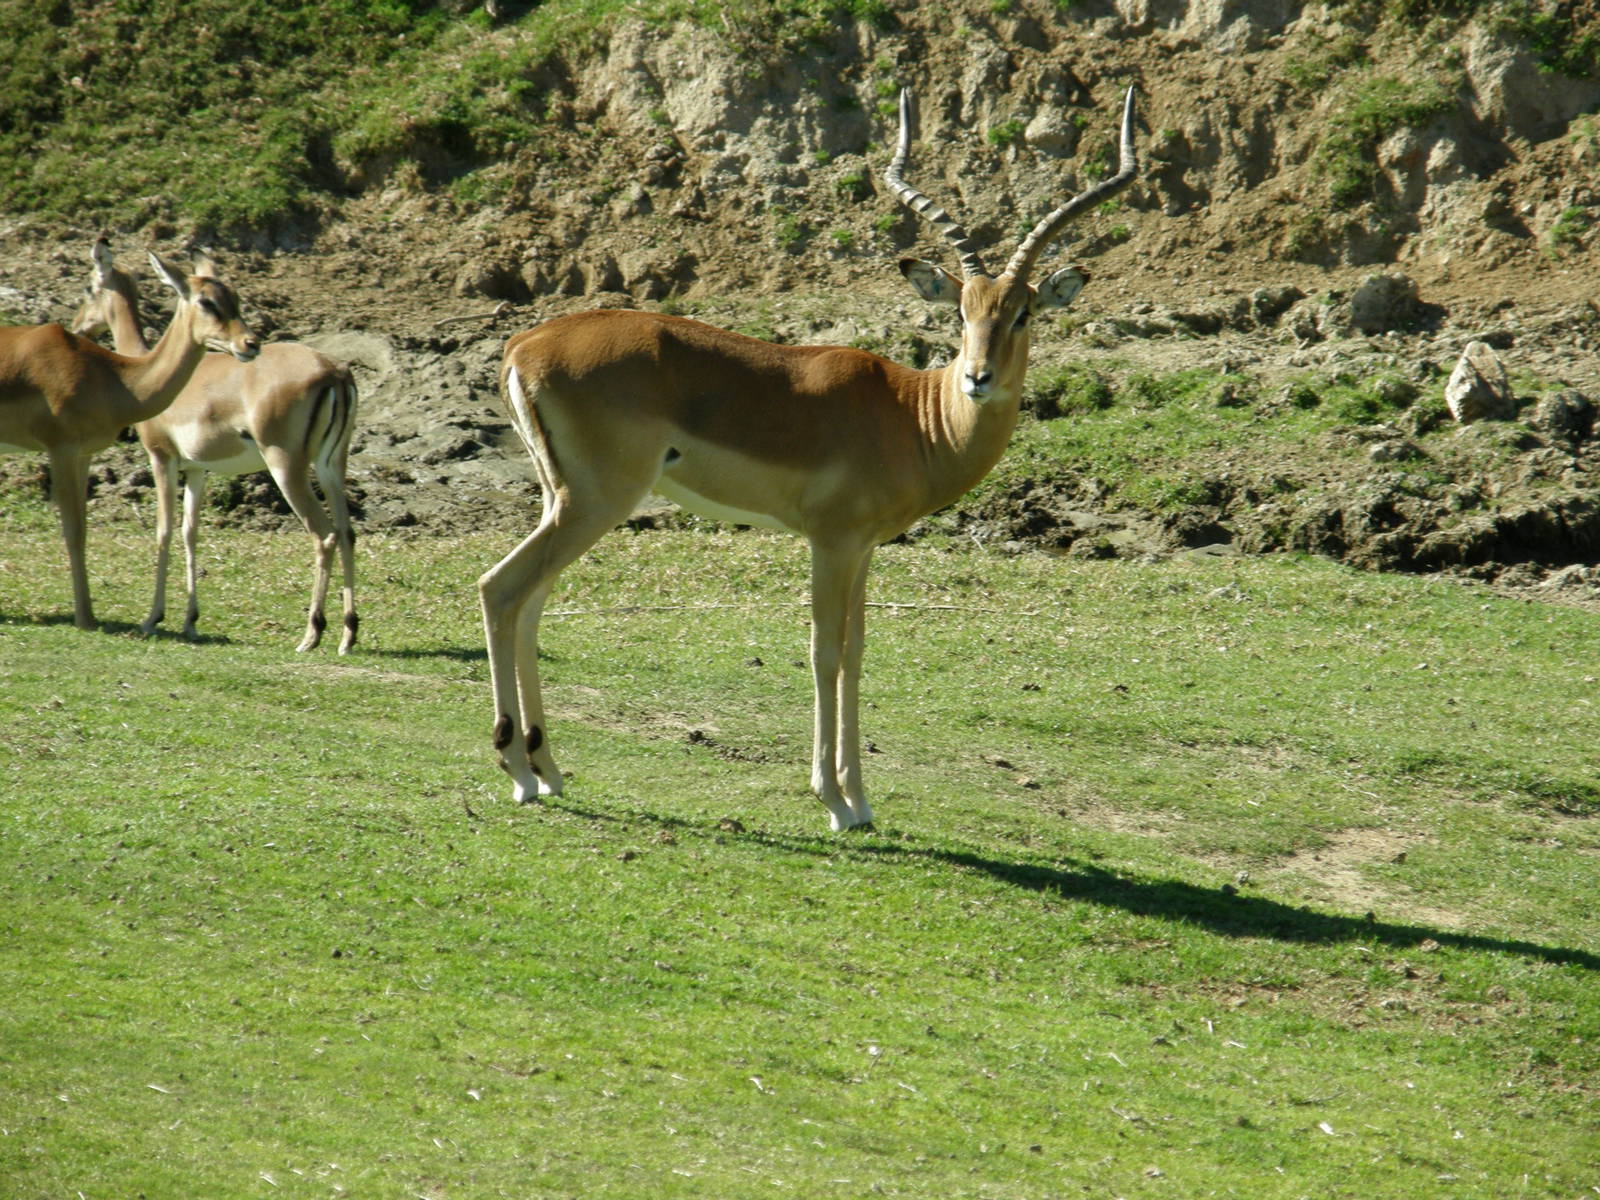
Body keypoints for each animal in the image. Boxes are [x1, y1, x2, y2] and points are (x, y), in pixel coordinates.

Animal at [1, 251, 258, 631]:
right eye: (206, 301)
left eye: (235, 296)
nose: (250, 344)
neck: (114, 378)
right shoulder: (61, 450)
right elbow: (73, 531)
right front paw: (85, 619)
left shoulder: (83, 455)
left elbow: (83, 529)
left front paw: (91, 614)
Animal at [71, 240, 360, 653]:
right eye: (216, 298)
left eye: (88, 287)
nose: (79, 325)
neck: (148, 372)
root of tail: (335, 372)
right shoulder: (197, 469)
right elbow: (191, 532)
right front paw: (190, 621)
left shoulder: (162, 458)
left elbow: (164, 530)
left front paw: (153, 618)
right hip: (331, 466)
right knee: (348, 531)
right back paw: (348, 635)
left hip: (287, 467)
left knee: (325, 535)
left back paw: (311, 634)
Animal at [481, 86, 1139, 831]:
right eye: (962, 311)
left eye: (1023, 312)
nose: (978, 377)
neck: (911, 414)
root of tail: (525, 345)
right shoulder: (831, 541)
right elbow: (825, 652)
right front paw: (835, 801)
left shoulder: (865, 547)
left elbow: (856, 651)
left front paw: (861, 799)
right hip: (597, 502)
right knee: (501, 589)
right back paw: (519, 772)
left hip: (560, 500)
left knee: (530, 602)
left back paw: (549, 771)